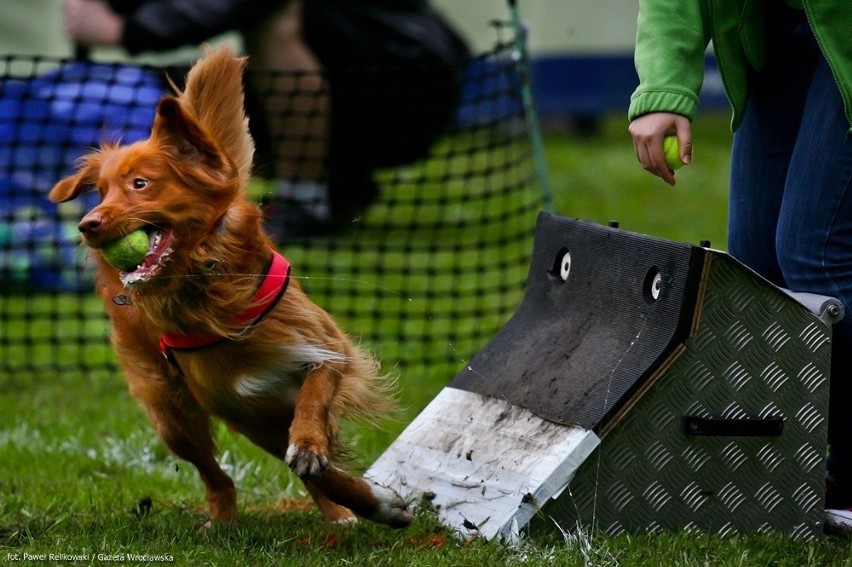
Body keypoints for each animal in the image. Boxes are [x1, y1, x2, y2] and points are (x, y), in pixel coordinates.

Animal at [47, 46, 412, 532]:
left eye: (140, 183)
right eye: (100, 192)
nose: (88, 225)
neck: (211, 293)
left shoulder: (326, 349)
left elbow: (313, 407)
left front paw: (320, 456)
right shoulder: (241, 409)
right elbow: (317, 472)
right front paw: (377, 504)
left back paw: (334, 511)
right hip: (169, 412)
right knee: (213, 474)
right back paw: (222, 518)